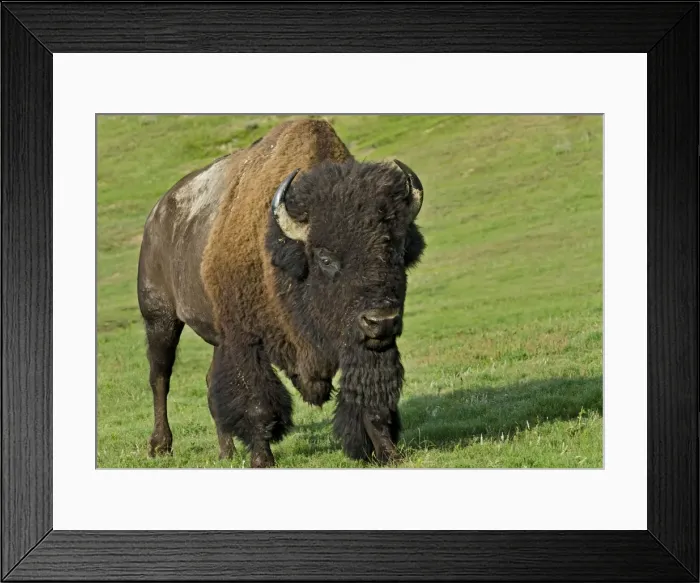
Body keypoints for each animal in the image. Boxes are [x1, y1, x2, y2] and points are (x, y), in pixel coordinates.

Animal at [137, 118, 426, 468]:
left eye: (397, 251)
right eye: (325, 258)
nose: (381, 320)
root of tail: (158, 215)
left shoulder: (368, 344)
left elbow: (371, 397)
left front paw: (389, 454)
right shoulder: (245, 341)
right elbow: (258, 401)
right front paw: (262, 460)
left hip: (215, 337)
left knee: (209, 381)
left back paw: (226, 451)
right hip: (159, 318)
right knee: (160, 377)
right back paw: (159, 446)